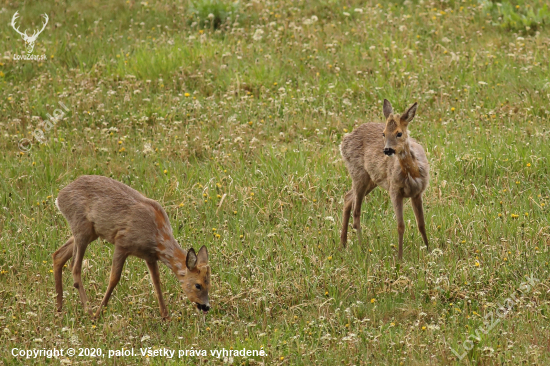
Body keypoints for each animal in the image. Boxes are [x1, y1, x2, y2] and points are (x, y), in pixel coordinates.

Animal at [54, 174, 212, 318]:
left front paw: (165, 317)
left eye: (209, 282)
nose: (206, 306)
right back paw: (89, 311)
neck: (157, 237)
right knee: (74, 267)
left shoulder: (150, 257)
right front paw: (99, 313)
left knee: (58, 255)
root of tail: (59, 197)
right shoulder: (122, 243)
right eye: (198, 285)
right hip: (81, 227)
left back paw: (59, 308)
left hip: (91, 232)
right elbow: (114, 278)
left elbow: (156, 282)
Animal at [340, 99, 432, 260]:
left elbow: (421, 223)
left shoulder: (417, 192)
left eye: (399, 133)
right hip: (358, 173)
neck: (411, 172)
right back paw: (361, 247)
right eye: (383, 133)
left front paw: (429, 250)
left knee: (348, 197)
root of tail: (343, 141)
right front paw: (400, 258)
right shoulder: (394, 190)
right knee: (356, 211)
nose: (387, 150)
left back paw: (343, 244)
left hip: (371, 179)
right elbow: (400, 225)